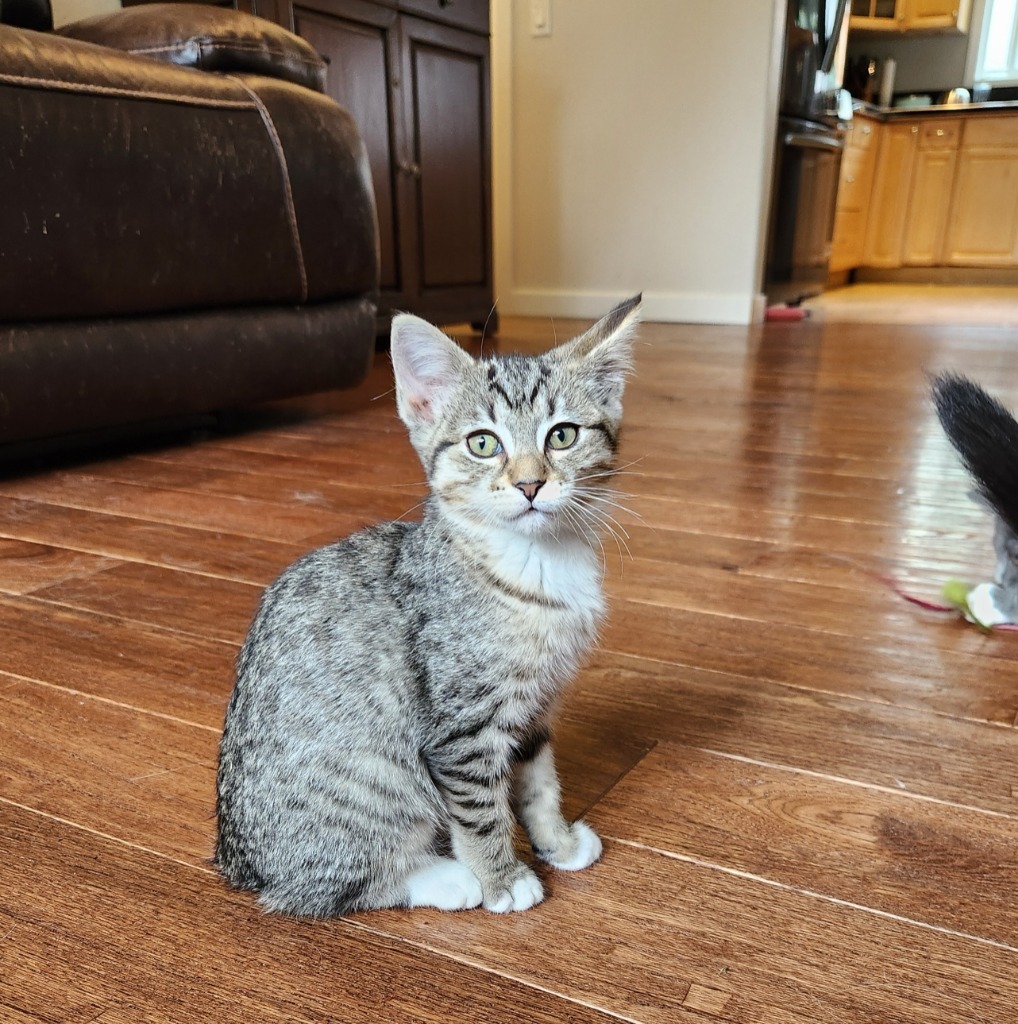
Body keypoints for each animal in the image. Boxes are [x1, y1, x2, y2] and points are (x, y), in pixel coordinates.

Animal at [214, 292, 639, 917]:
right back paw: (448, 879)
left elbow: (539, 782)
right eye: (483, 443)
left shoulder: (535, 706)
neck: (534, 562)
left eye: (562, 436)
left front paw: (556, 841)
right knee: (329, 888)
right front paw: (502, 878)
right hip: (369, 787)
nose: (530, 485)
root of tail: (237, 862)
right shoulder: (460, 728)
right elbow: (481, 811)